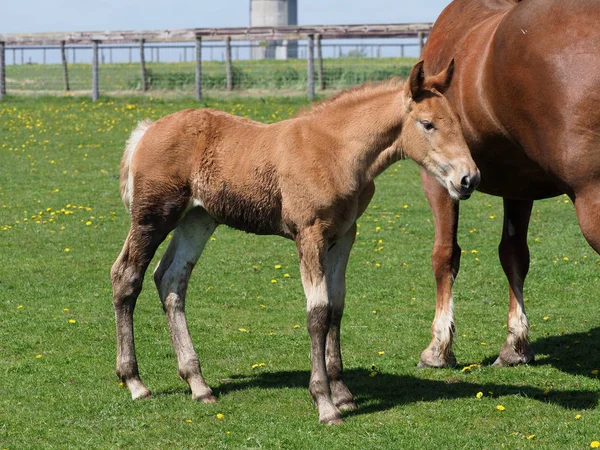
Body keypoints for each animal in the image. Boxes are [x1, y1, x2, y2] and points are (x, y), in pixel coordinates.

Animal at [110, 60, 480, 426]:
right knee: (126, 277)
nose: (469, 178)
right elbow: (318, 313)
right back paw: (135, 382)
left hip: (197, 220)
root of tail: (147, 130)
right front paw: (325, 404)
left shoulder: (344, 235)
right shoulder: (310, 234)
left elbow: (337, 307)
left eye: (456, 120)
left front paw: (343, 394)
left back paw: (198, 384)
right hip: (152, 218)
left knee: (171, 280)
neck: (336, 150)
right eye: (428, 124)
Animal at [418, 0, 600, 368]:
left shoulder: (438, 180)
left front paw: (438, 348)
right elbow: (514, 254)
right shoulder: (519, 187)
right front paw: (515, 346)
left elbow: (444, 254)